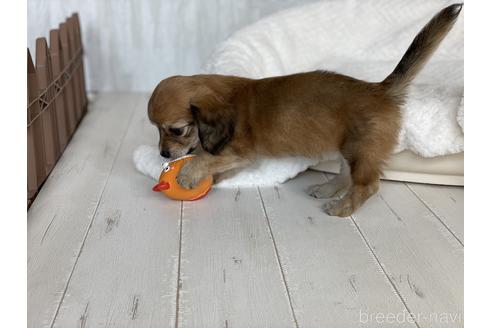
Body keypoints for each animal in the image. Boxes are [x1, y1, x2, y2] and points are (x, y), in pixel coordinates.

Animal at [148, 3, 464, 218]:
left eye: (176, 130)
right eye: (156, 129)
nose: (162, 154)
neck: (226, 95)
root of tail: (380, 89)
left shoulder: (239, 150)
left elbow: (205, 158)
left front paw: (188, 174)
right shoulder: (236, 155)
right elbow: (216, 163)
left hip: (360, 151)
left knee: (367, 185)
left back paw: (341, 208)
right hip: (348, 148)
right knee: (346, 175)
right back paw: (327, 189)